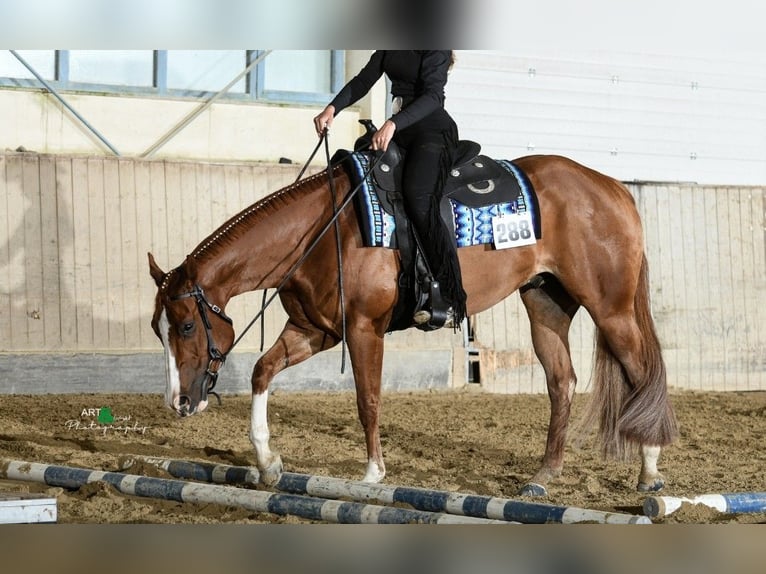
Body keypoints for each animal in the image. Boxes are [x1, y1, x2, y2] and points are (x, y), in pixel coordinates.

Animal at [147, 152, 678, 497]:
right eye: (159, 329)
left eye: (187, 327)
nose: (178, 403)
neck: (324, 230)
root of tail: (612, 188)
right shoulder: (315, 331)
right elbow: (262, 371)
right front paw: (267, 462)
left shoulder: (363, 329)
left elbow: (368, 399)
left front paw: (372, 474)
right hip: (545, 301)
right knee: (561, 381)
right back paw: (544, 475)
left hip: (609, 307)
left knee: (641, 373)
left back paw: (650, 471)